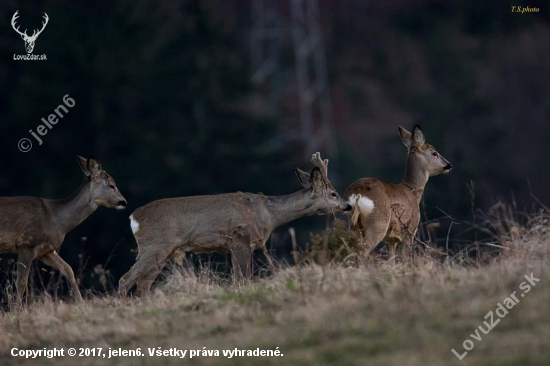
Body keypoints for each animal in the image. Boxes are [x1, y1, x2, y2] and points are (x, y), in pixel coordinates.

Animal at [0, 156, 127, 302]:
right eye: (111, 185)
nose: (124, 202)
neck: (56, 221)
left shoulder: (47, 250)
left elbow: (68, 270)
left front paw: (81, 302)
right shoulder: (26, 244)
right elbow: (21, 283)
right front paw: (16, 307)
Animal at [118, 153, 352, 296]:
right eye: (333, 193)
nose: (347, 205)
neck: (269, 213)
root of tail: (133, 218)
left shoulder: (234, 247)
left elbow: (239, 279)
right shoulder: (241, 240)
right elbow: (243, 279)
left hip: (164, 251)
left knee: (143, 284)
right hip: (155, 245)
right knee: (126, 279)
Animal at [348, 124, 454, 258]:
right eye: (434, 153)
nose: (449, 165)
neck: (412, 190)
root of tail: (358, 194)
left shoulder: (391, 239)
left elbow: (391, 258)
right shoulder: (410, 229)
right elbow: (405, 256)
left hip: (354, 225)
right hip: (378, 223)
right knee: (362, 251)